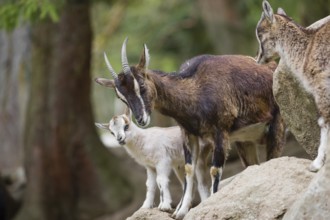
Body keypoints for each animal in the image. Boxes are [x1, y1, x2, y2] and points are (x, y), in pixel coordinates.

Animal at [96, 38, 286, 219]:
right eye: (121, 97)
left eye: (141, 85)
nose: (141, 119)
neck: (196, 88)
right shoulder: (189, 134)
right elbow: (189, 170)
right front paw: (180, 212)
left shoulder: (221, 131)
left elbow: (215, 170)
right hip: (244, 141)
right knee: (253, 165)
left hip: (277, 127)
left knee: (274, 159)